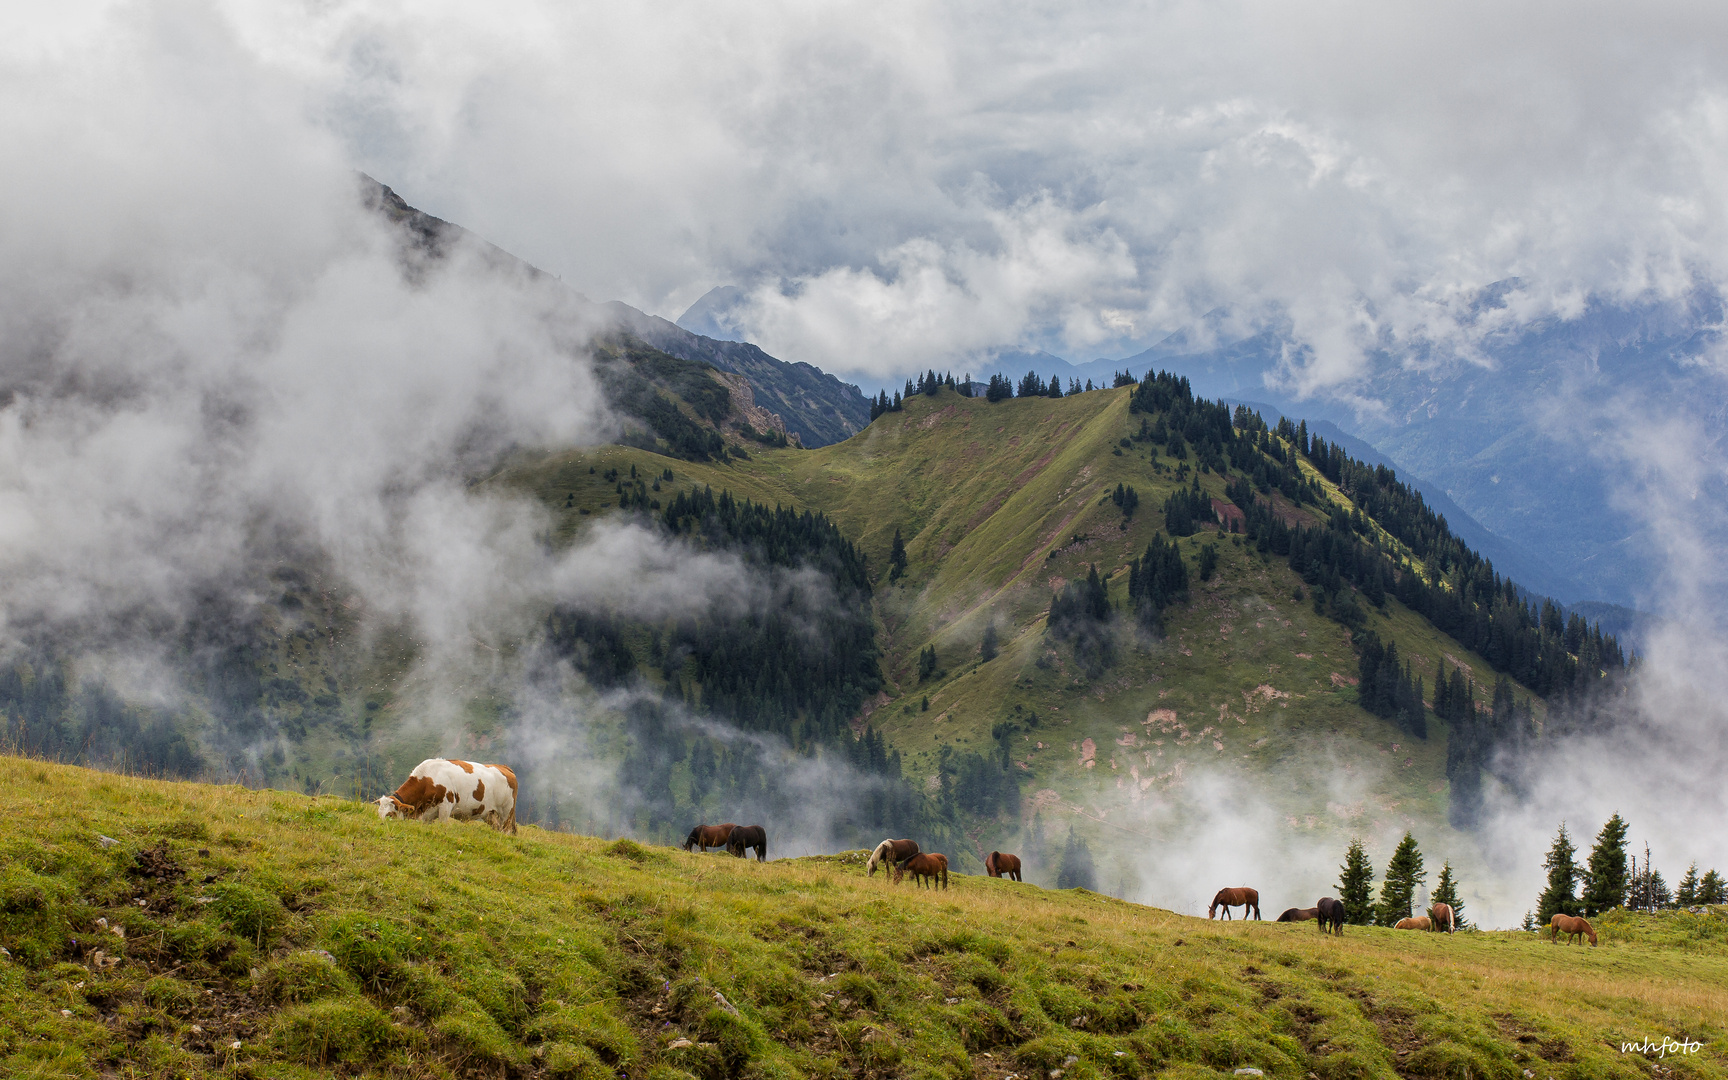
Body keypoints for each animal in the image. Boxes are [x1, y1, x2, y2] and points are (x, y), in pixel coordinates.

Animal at [376, 756, 514, 832]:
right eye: (379, 813)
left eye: (390, 814)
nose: (381, 824)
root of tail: (504, 767)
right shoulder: (427, 813)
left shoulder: (446, 806)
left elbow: (442, 824)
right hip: (490, 814)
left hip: (506, 813)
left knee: (505, 831)